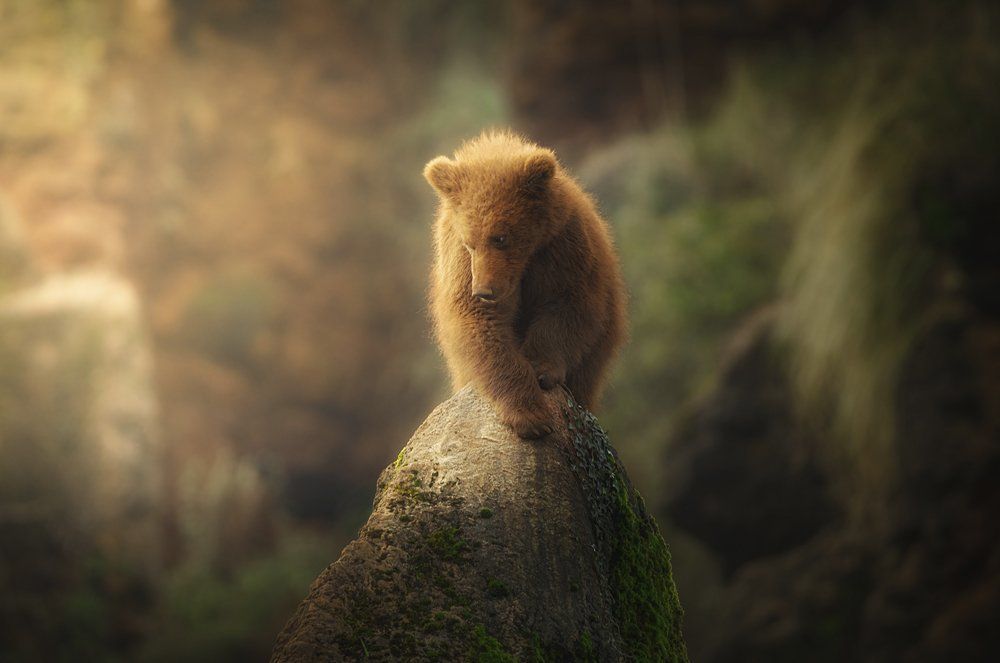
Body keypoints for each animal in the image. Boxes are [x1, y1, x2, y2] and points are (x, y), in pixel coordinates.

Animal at [423, 129, 627, 439]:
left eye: (500, 237)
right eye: (470, 242)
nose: (484, 291)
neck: (524, 262)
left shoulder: (562, 248)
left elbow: (566, 307)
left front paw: (541, 368)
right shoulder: (461, 265)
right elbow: (481, 328)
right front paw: (530, 415)